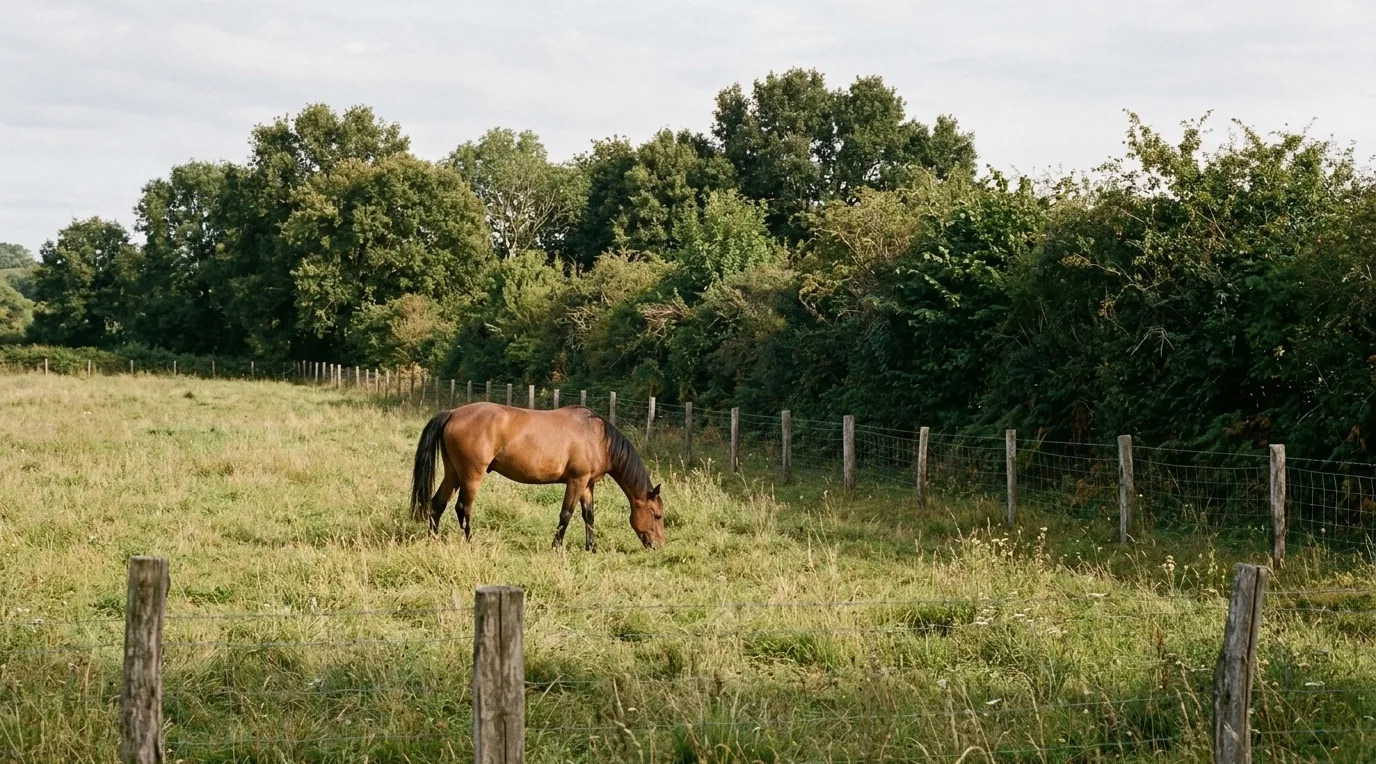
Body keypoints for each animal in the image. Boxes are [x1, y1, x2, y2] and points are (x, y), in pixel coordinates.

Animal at [410, 402, 665, 550]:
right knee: (463, 508)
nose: (659, 545)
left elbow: (589, 516)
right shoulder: (576, 481)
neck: (597, 437)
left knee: (437, 504)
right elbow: (566, 514)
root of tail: (452, 413)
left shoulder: (586, 484)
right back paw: (470, 543)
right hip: (472, 475)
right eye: (657, 515)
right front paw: (556, 547)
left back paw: (433, 540)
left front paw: (591, 547)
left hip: (453, 473)